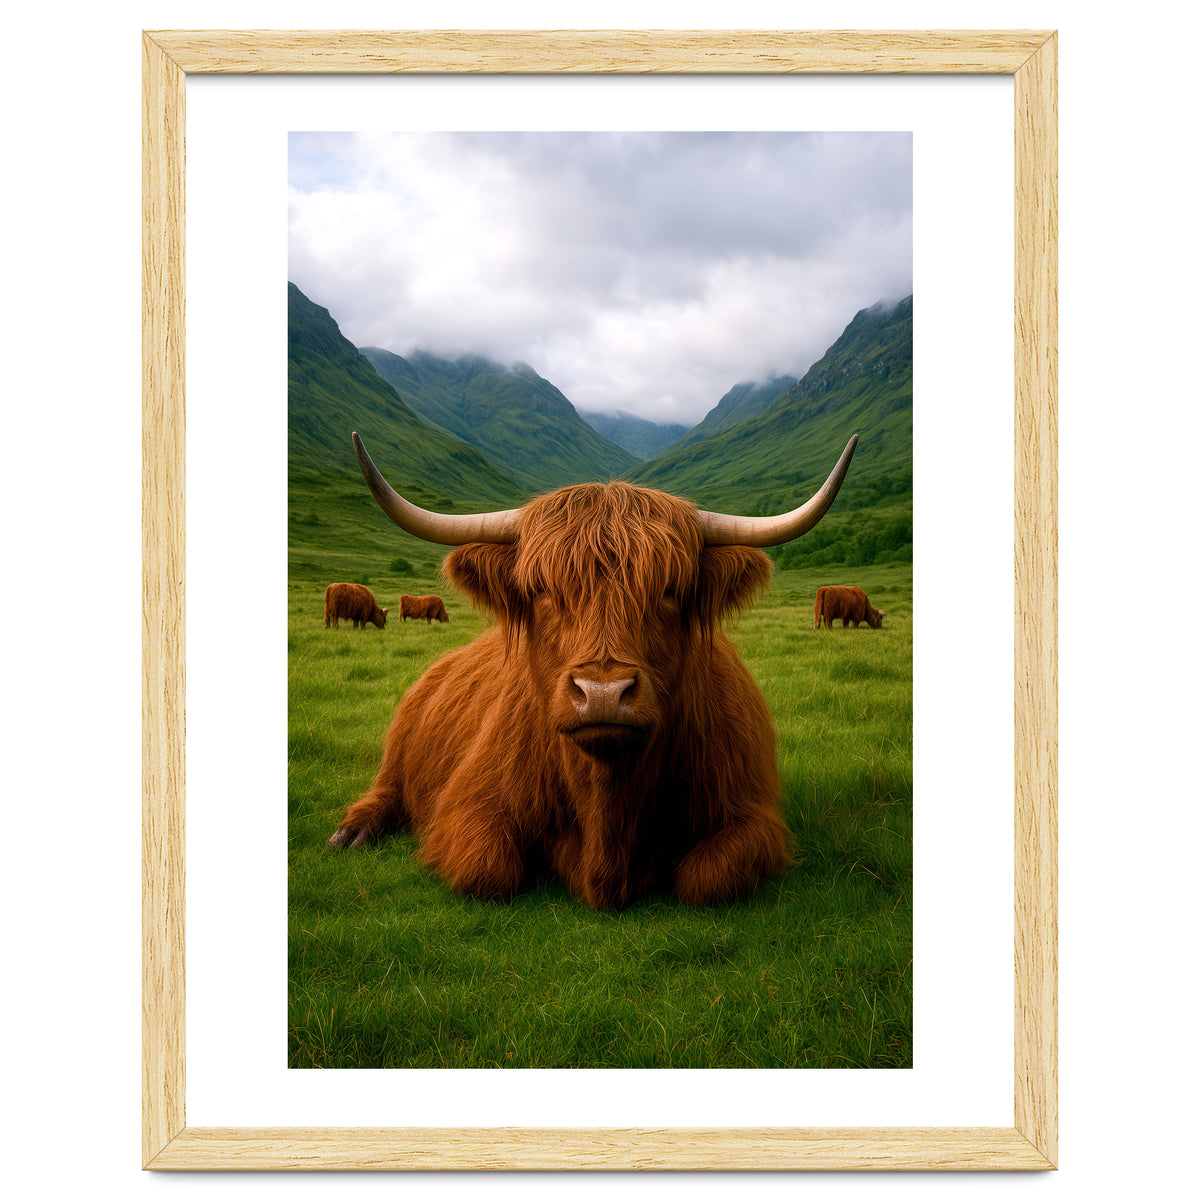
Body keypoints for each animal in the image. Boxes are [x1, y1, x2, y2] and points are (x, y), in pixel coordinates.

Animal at [329, 431, 858, 910]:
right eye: (541, 589)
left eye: (670, 590)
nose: (602, 693)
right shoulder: (467, 804)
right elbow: (489, 870)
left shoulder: (751, 815)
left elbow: (706, 880)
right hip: (400, 745)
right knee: (387, 787)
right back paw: (352, 831)